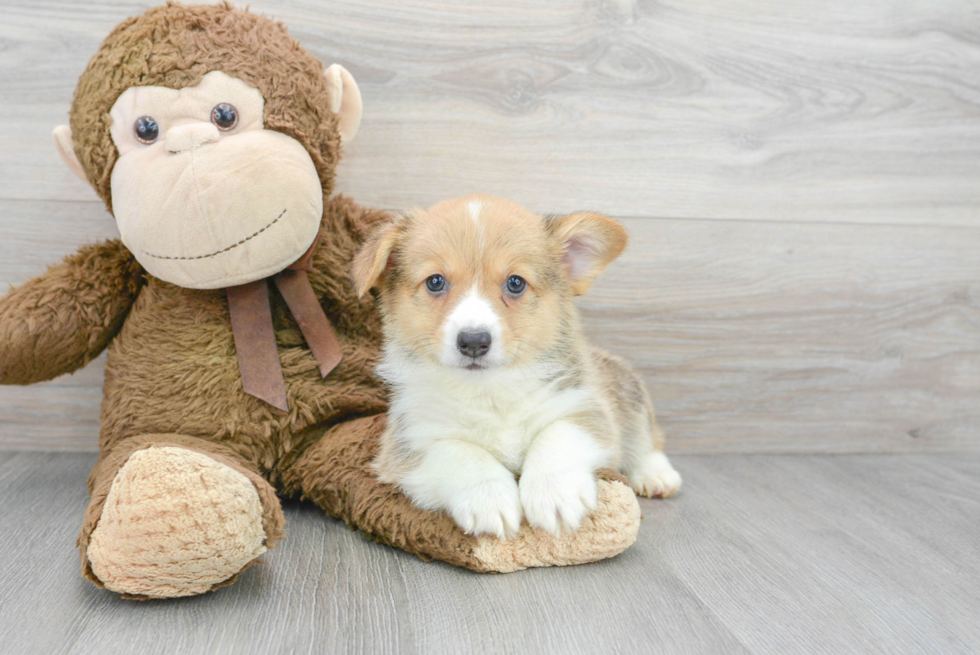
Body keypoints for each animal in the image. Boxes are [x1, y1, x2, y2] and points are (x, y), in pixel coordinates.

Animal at [354, 193, 680, 540]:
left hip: (630, 395)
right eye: (435, 282)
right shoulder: (410, 442)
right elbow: (459, 452)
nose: (473, 341)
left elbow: (557, 435)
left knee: (647, 438)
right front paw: (489, 498)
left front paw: (555, 492)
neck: (490, 391)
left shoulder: (585, 409)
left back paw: (655, 475)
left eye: (515, 283)